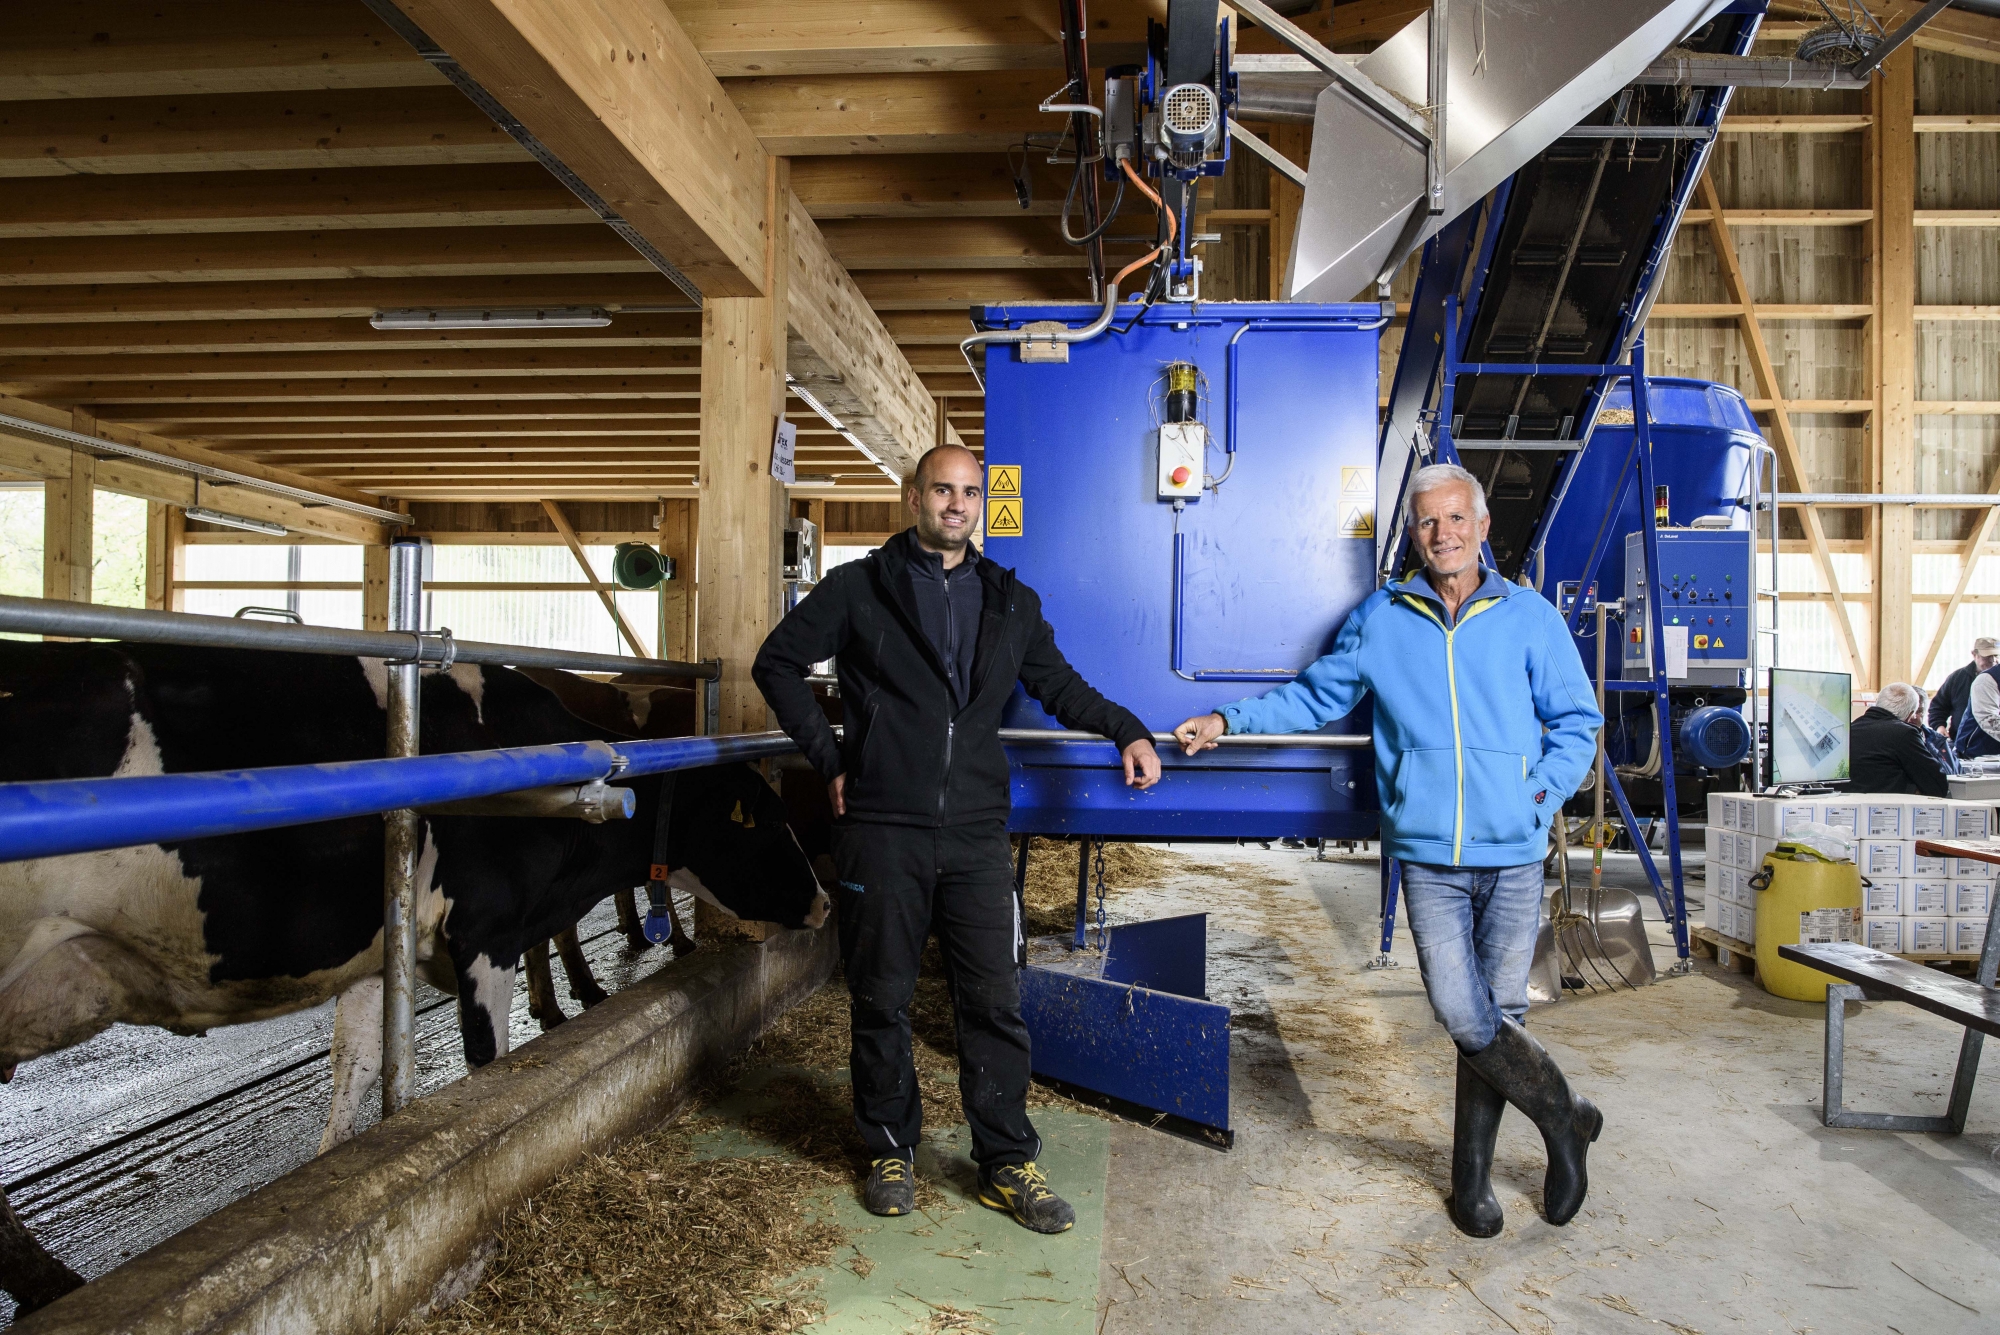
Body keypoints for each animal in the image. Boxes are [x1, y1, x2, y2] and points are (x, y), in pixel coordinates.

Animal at [0, 643, 828, 1311]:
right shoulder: (486, 932)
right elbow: (485, 1072)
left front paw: (334, 1165)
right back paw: (53, 1284)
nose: (823, 901)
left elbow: (358, 1066)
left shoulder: (378, 954)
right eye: (759, 819)